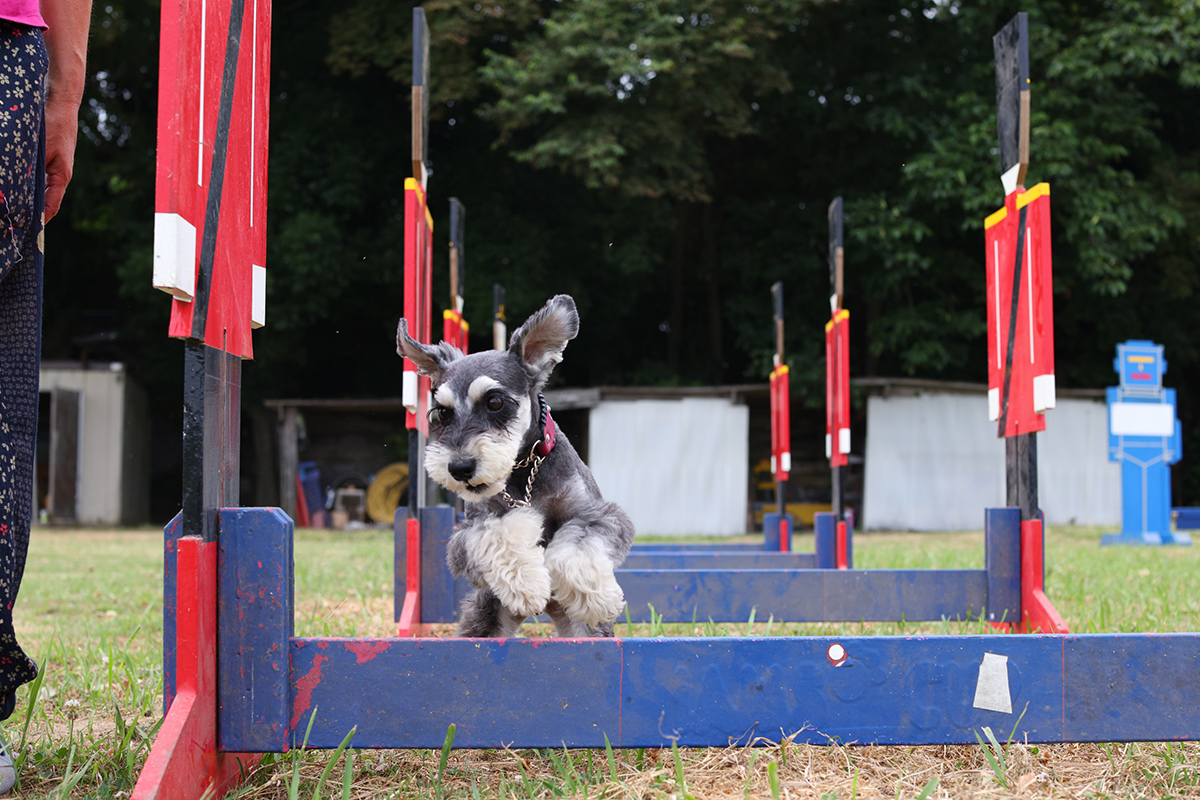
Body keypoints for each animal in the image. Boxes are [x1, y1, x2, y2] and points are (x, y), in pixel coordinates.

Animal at [396, 293, 638, 638]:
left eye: (495, 401)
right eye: (442, 412)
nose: (460, 467)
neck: (524, 468)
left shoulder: (598, 515)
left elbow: (577, 549)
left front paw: (593, 599)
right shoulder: (465, 537)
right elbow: (497, 535)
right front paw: (527, 584)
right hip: (486, 613)